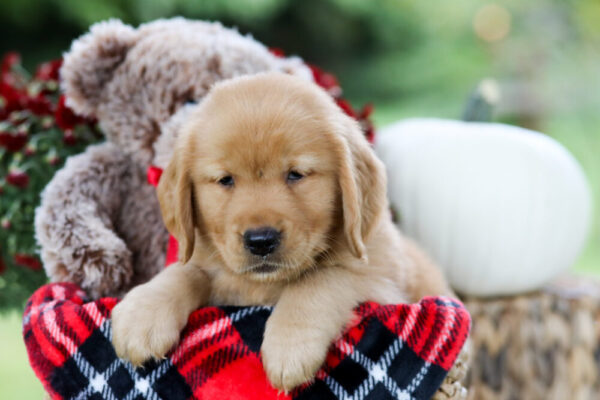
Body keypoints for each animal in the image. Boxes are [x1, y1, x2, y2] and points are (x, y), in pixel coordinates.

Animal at [110, 72, 452, 390]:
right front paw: (143, 314)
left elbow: (319, 279)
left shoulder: (380, 281)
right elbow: (183, 272)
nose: (260, 241)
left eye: (296, 174)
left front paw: (289, 346)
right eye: (225, 180)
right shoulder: (205, 262)